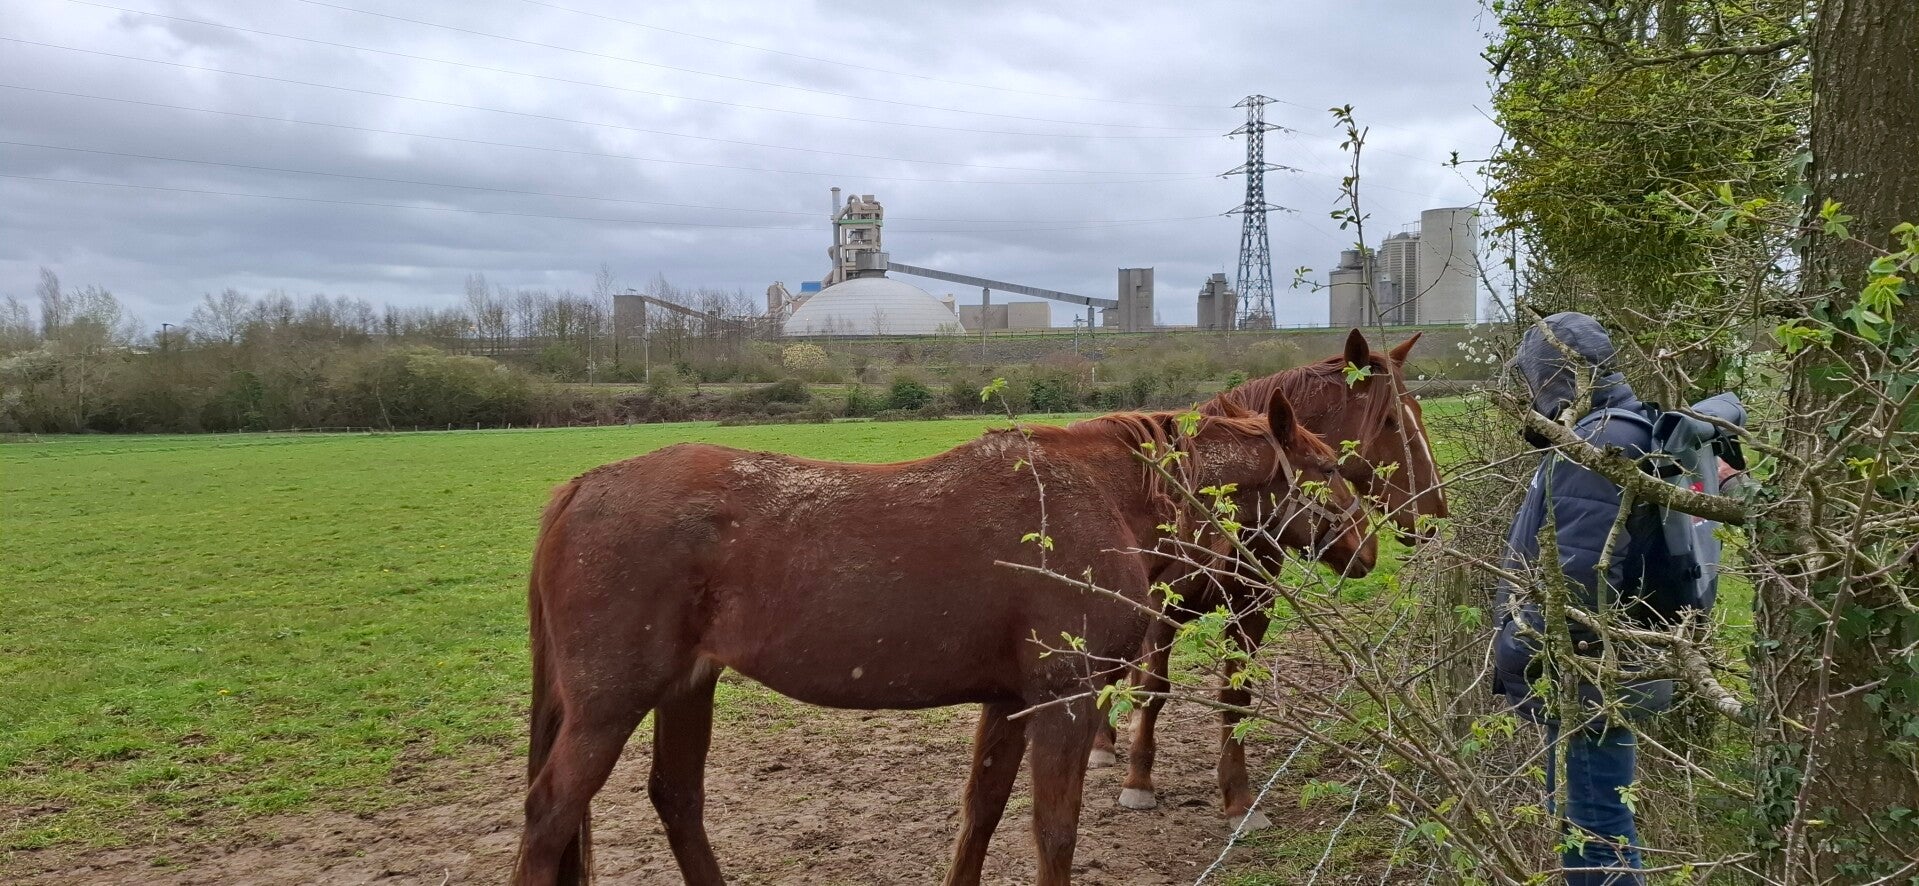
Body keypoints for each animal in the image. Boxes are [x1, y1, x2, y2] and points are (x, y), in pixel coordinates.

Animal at [513, 388, 1375, 886]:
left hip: (687, 688)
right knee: (550, 815)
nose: (1368, 552)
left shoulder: (1009, 702)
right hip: (608, 706)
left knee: (677, 801)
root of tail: (582, 486)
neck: (1103, 497)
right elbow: (1053, 831)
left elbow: (980, 815)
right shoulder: (1062, 701)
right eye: (1332, 469)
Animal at [1088, 329, 1449, 830]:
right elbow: (1153, 691)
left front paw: (1239, 799)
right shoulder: (1162, 611)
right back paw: (1102, 742)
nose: (1434, 512)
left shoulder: (1252, 611)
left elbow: (1235, 699)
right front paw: (1139, 781)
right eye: (1392, 421)